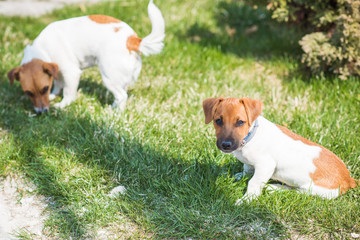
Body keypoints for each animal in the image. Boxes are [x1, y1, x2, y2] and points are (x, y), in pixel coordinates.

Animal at [7, 0, 165, 114]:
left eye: (45, 89)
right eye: (28, 93)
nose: (41, 112)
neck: (42, 49)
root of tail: (132, 40)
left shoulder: (71, 72)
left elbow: (68, 92)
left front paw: (62, 104)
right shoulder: (58, 71)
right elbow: (58, 84)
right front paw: (54, 94)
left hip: (109, 76)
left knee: (122, 96)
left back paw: (115, 113)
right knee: (121, 92)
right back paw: (112, 107)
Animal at [202, 96, 358, 203]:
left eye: (240, 122)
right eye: (218, 121)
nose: (226, 145)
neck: (249, 137)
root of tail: (348, 179)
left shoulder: (266, 165)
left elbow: (253, 182)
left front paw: (247, 200)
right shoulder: (250, 164)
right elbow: (247, 169)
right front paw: (239, 175)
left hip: (317, 190)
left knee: (298, 191)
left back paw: (275, 188)